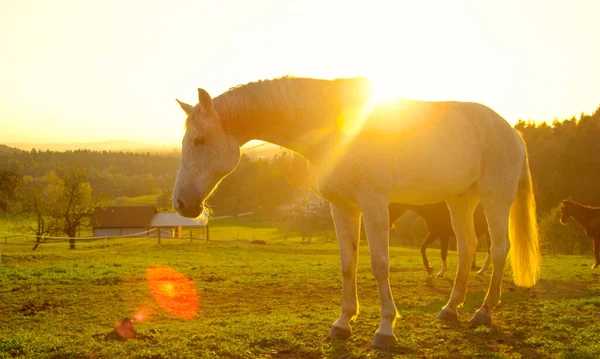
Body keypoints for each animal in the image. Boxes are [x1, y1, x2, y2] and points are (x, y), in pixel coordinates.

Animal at [171, 76, 540, 348]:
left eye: (200, 141)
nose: (181, 204)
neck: (333, 130)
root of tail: (511, 131)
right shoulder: (342, 206)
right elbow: (348, 264)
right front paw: (343, 323)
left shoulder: (374, 203)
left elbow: (379, 264)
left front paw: (386, 329)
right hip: (460, 200)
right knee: (467, 248)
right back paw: (450, 309)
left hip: (495, 199)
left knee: (498, 250)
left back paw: (484, 312)